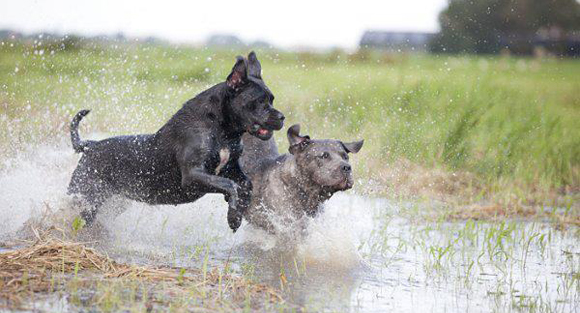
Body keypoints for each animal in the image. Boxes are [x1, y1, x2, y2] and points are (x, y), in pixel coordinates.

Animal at [68, 51, 286, 232]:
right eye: (260, 101)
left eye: (272, 99)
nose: (282, 117)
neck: (223, 131)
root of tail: (91, 145)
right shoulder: (192, 176)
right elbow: (229, 185)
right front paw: (233, 216)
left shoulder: (231, 167)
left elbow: (245, 183)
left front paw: (237, 214)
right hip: (85, 195)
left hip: (114, 202)